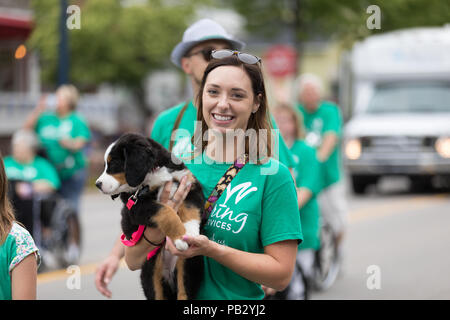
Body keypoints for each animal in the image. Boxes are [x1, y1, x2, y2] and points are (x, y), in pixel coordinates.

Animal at [97, 132, 207, 300]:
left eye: (113, 163)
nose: (97, 184)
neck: (153, 174)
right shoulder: (136, 208)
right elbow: (165, 211)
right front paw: (180, 237)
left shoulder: (189, 185)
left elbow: (190, 210)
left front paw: (190, 233)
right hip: (150, 274)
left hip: (189, 266)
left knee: (184, 292)